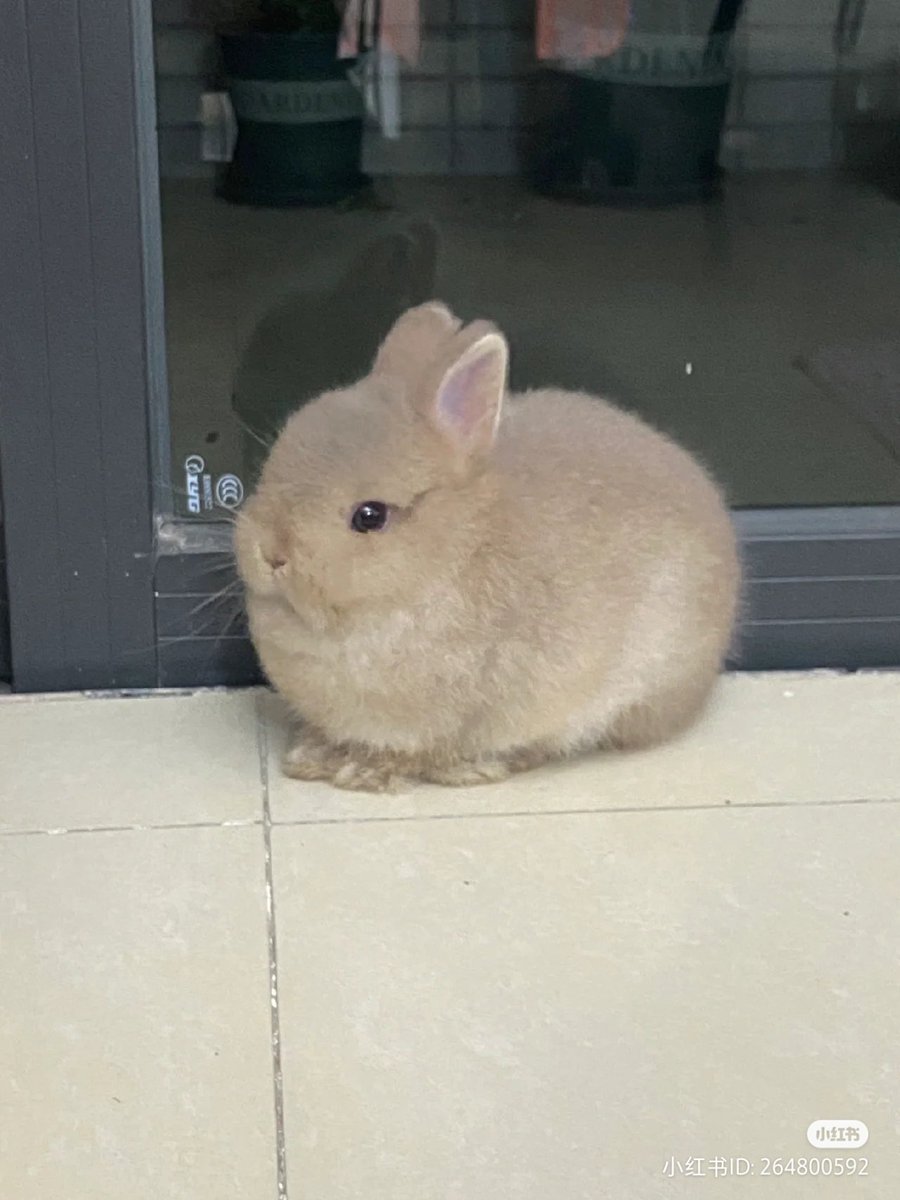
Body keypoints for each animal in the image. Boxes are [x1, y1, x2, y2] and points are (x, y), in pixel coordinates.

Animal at [235, 302, 740, 792]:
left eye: (370, 516)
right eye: (275, 461)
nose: (271, 554)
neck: (449, 556)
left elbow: (416, 750)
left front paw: (362, 772)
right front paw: (312, 755)